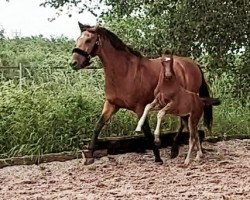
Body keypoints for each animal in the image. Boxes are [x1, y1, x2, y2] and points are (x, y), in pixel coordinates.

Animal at [70, 22, 213, 165]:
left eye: (88, 40)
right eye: (77, 40)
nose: (73, 63)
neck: (124, 71)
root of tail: (193, 64)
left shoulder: (140, 108)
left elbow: (146, 131)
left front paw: (158, 157)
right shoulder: (111, 104)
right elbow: (98, 126)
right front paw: (89, 155)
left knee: (185, 123)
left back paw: (175, 150)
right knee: (187, 123)